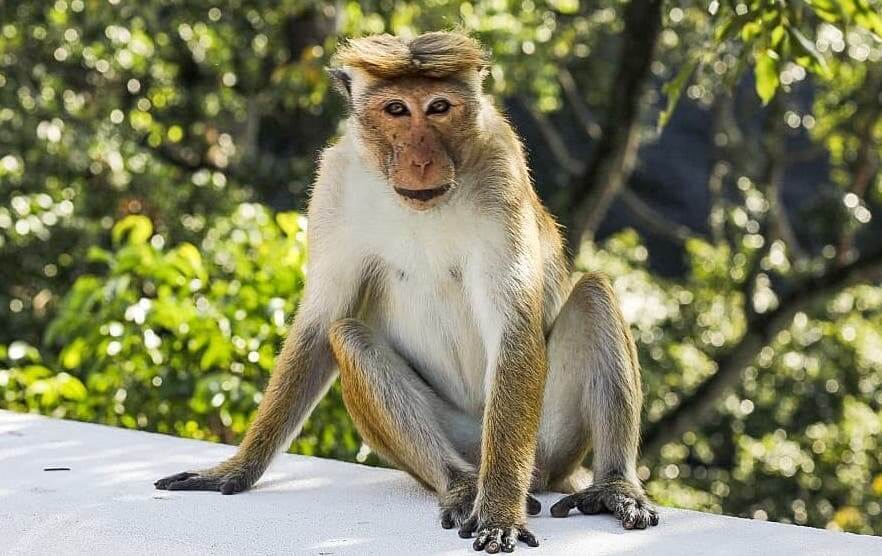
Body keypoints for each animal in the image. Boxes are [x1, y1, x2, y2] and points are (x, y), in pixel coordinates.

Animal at [155, 31, 656, 552]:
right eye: (396, 109)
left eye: (438, 107)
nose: (421, 158)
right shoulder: (334, 184)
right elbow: (319, 324)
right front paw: (236, 469)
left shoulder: (503, 173)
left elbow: (514, 329)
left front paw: (500, 510)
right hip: (464, 439)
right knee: (349, 335)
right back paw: (460, 486)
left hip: (543, 442)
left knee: (593, 293)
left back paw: (611, 485)